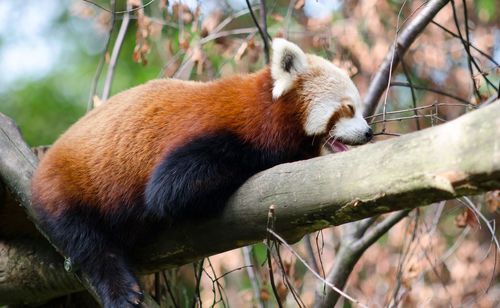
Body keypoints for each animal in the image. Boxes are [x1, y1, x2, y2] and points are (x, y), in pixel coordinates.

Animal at [31, 39, 372, 306]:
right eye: (349, 108)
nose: (369, 133)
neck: (263, 112)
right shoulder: (207, 136)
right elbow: (169, 191)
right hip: (63, 189)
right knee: (88, 242)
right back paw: (120, 288)